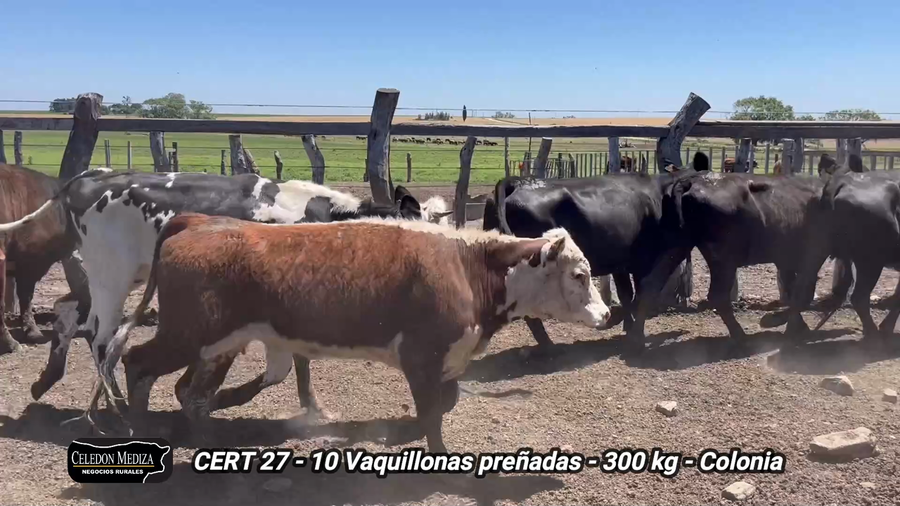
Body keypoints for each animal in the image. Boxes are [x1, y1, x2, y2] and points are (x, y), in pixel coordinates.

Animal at [121, 213, 610, 451]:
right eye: (581, 275)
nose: (606, 314)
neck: (467, 267)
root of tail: (195, 225)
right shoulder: (421, 357)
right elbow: (432, 415)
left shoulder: (448, 359)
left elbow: (445, 403)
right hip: (187, 335)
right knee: (137, 364)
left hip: (216, 345)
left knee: (191, 393)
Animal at [482, 152, 710, 355]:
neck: (659, 197)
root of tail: (518, 183)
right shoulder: (642, 262)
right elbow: (642, 294)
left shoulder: (620, 262)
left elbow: (627, 294)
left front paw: (626, 326)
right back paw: (549, 348)